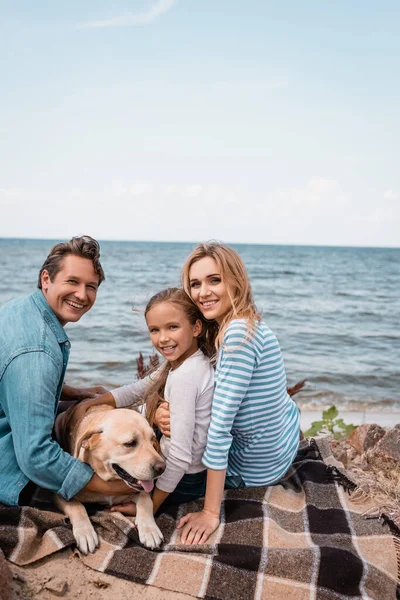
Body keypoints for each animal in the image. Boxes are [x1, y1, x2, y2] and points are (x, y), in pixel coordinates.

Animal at [53, 404, 166, 552]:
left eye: (152, 439)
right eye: (130, 443)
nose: (162, 467)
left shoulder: (137, 491)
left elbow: (146, 499)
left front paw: (149, 529)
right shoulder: (60, 492)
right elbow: (77, 507)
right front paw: (85, 532)